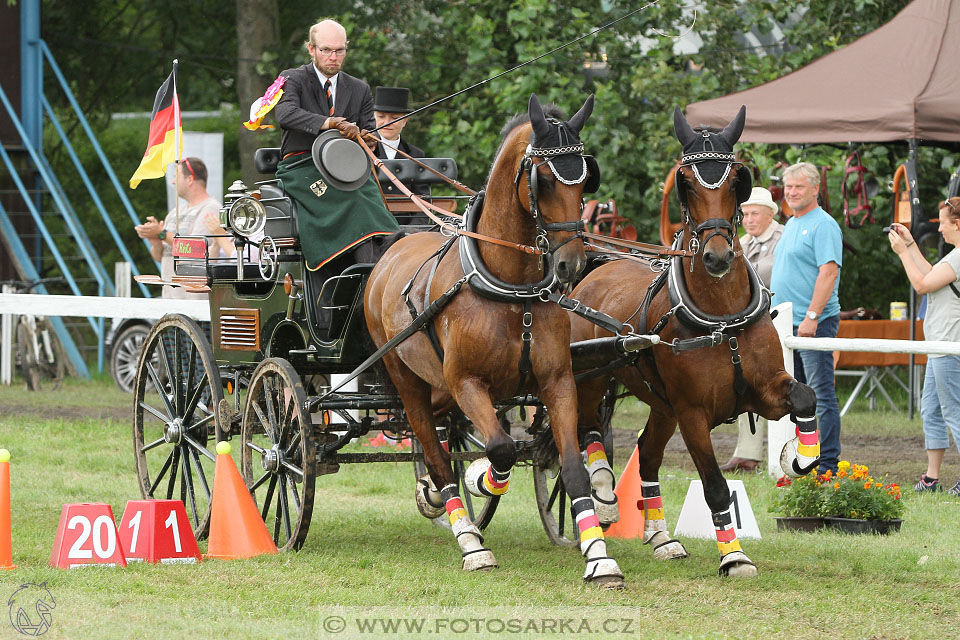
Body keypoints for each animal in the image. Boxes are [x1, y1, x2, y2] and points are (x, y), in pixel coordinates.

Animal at [364, 92, 628, 588]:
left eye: (585, 178)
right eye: (544, 180)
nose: (570, 265)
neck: (512, 289)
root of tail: (391, 249)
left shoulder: (557, 380)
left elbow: (573, 469)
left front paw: (599, 557)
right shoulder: (468, 382)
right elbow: (500, 449)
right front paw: (479, 480)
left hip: (439, 384)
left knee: (441, 440)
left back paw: (435, 496)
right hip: (407, 378)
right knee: (433, 448)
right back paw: (468, 538)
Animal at [568, 105, 816, 576]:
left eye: (737, 180)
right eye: (685, 182)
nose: (717, 257)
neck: (721, 317)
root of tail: (597, 269)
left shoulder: (763, 390)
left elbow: (805, 397)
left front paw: (796, 458)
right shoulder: (693, 412)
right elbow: (715, 485)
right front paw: (733, 555)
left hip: (661, 404)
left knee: (647, 454)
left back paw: (661, 537)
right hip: (592, 379)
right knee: (586, 429)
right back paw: (604, 495)